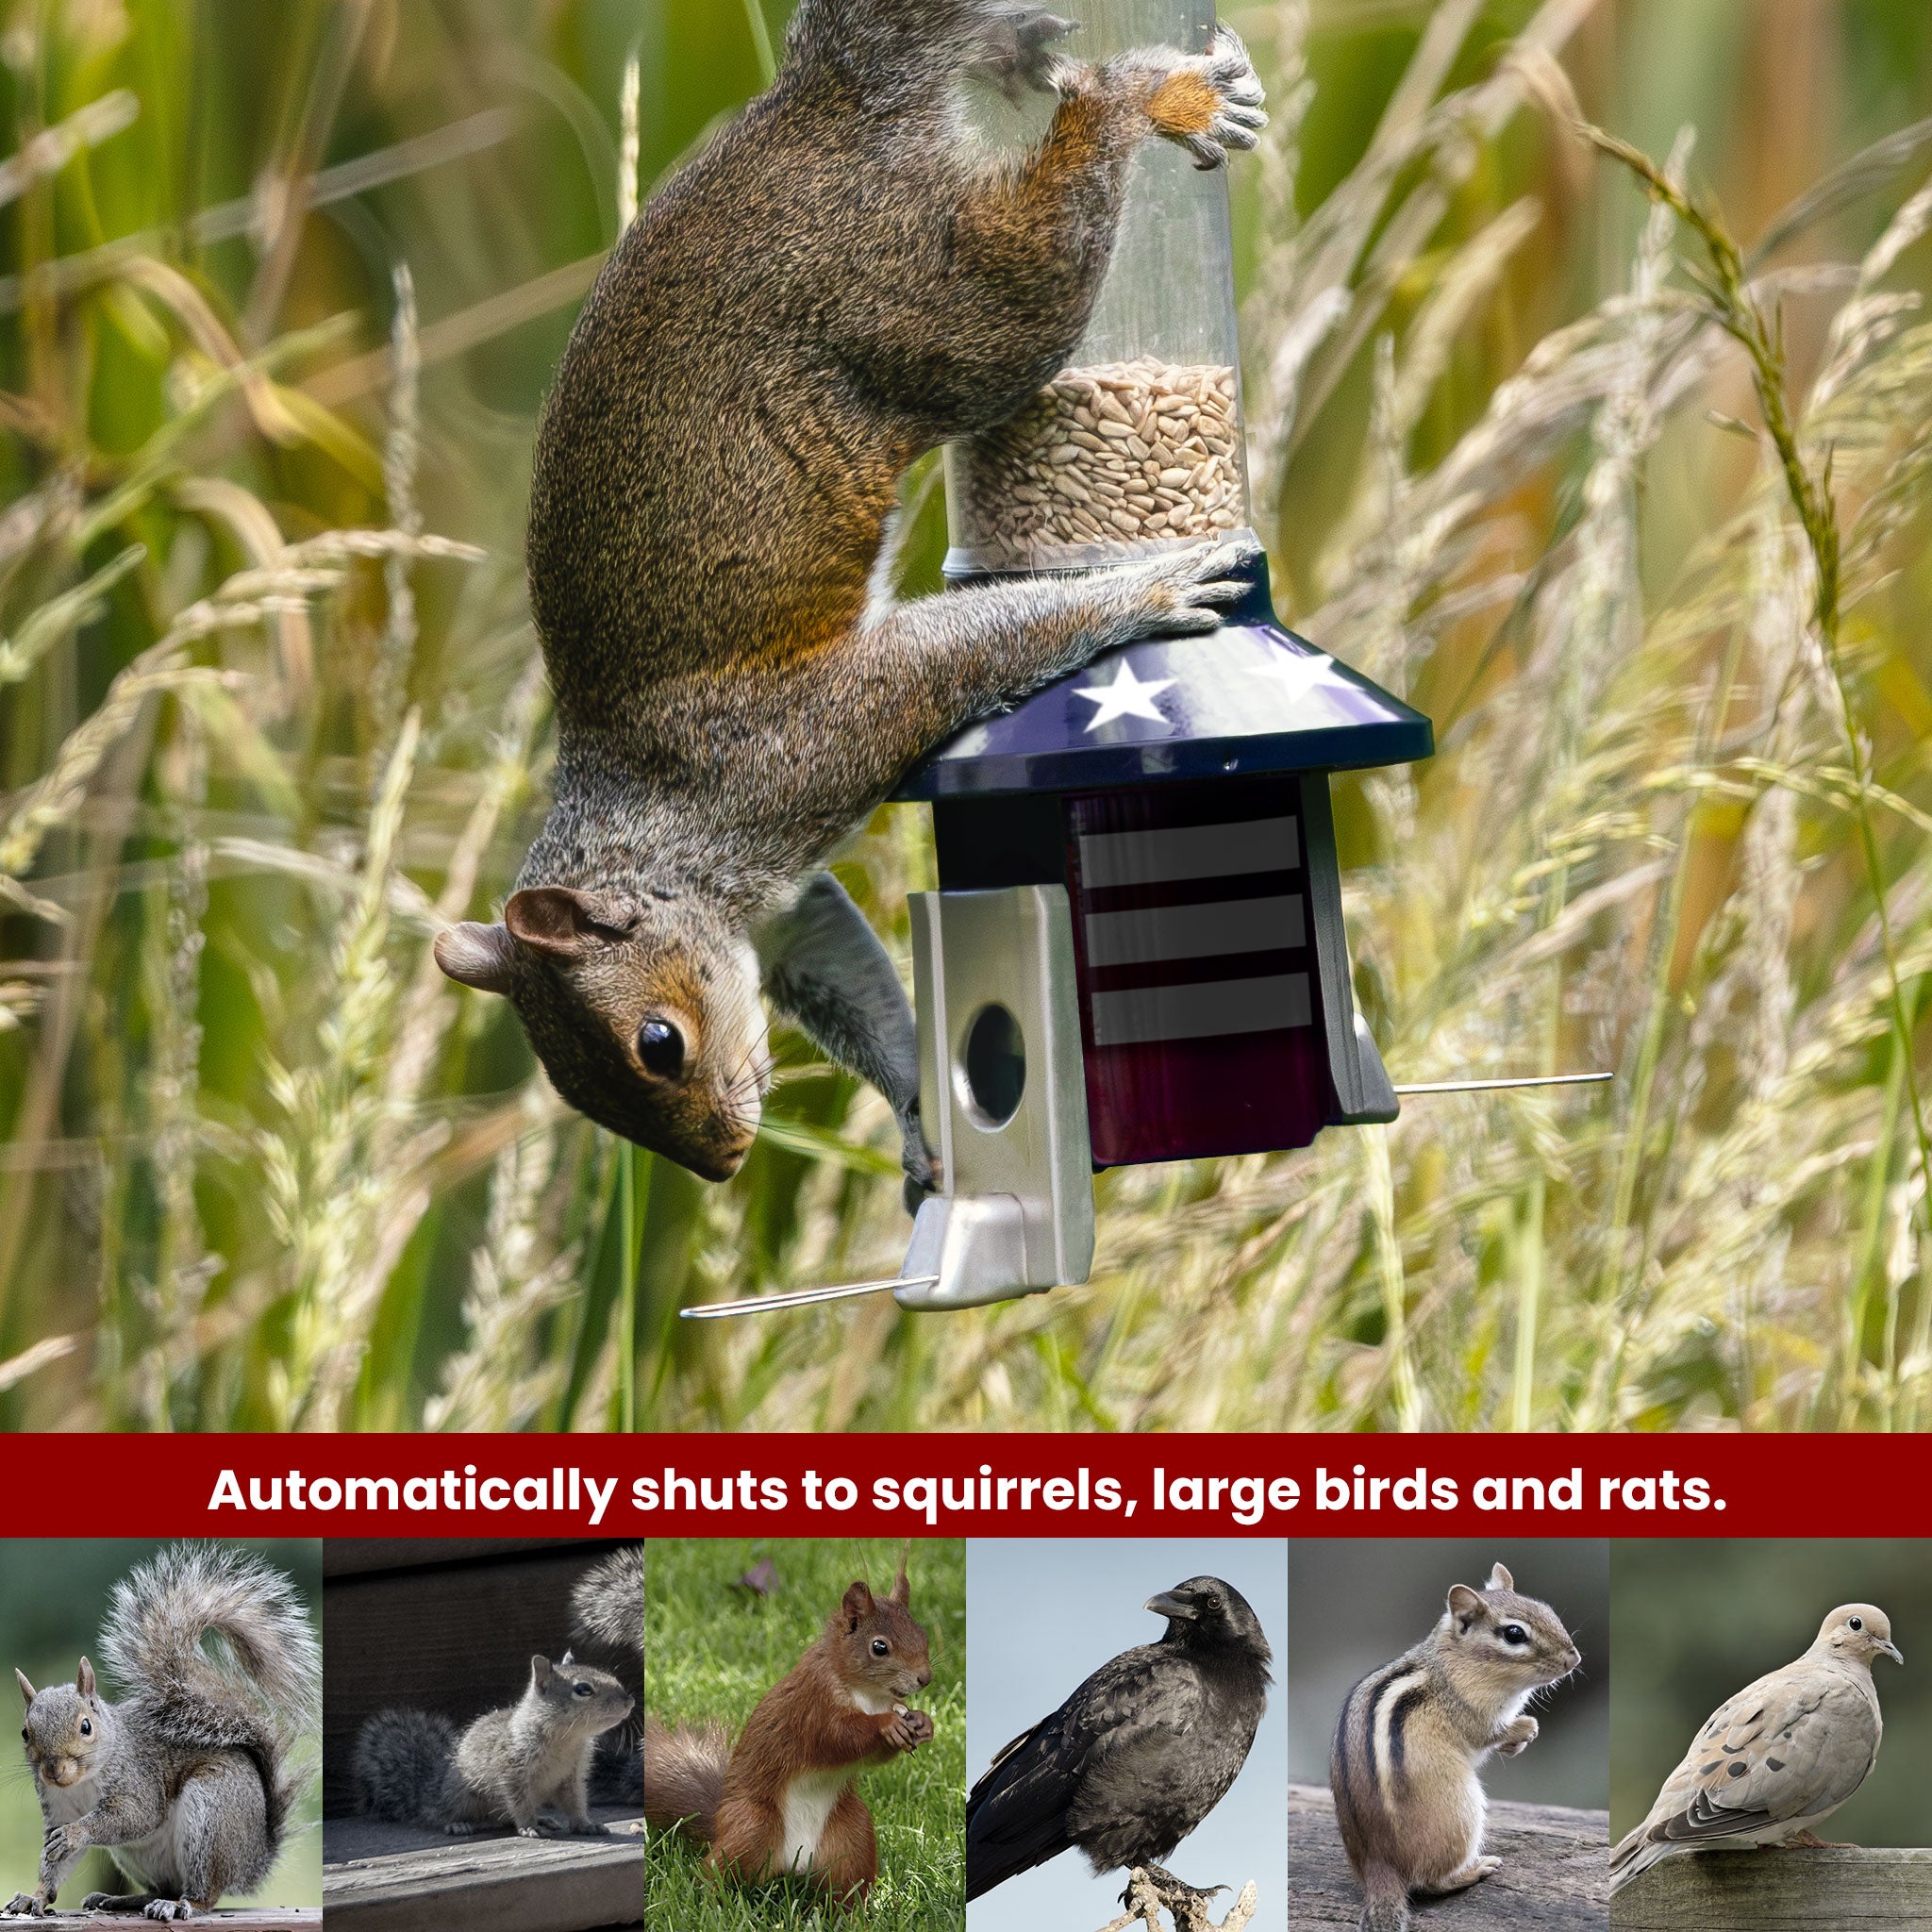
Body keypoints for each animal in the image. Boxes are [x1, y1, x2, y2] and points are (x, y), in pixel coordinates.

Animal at [6, 1542, 321, 1923]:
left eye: (85, 1726)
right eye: (25, 1732)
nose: (53, 1770)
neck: (82, 1781)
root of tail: (253, 1859)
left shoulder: (138, 1780)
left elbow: (133, 1816)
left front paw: (76, 1834)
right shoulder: (57, 1807)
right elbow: (54, 1864)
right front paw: (34, 1897)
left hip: (211, 1815)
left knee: (204, 1892)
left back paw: (181, 1904)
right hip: (138, 1856)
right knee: (163, 1887)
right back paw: (121, 1899)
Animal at [353, 1653, 633, 1839]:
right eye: (583, 1689)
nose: (628, 1701)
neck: (567, 1739)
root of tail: (430, 1792)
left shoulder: (572, 1777)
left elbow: (575, 1803)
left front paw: (586, 1824)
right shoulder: (512, 1770)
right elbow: (519, 1803)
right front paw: (529, 1826)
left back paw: (543, 1819)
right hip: (461, 1795)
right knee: (444, 1814)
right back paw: (458, 1824)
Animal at [432, 0, 1269, 1198]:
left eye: (656, 1042)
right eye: (576, 1091)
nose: (723, 1163)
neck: (661, 832)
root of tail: (822, 103)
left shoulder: (813, 739)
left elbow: (962, 655)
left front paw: (1150, 584)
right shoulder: (786, 915)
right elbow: (850, 978)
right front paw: (922, 1112)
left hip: (948, 310)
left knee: (1053, 220)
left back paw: (1150, 97)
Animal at [644, 1553, 934, 1907]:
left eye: (923, 1634)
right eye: (880, 1647)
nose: (925, 1678)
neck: (868, 1695)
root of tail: (795, 1862)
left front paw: (924, 1723)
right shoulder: (811, 1707)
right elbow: (837, 1737)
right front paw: (886, 1725)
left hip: (852, 1837)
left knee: (846, 1886)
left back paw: (853, 1913)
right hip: (753, 1827)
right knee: (718, 1868)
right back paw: (706, 1899)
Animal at [1329, 1563, 1581, 1932]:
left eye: (1546, 1609)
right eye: (1514, 1634)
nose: (1573, 1660)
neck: (1456, 1660)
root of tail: (1380, 1865)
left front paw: (1518, 1742)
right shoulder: (1471, 1714)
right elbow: (1486, 1735)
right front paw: (1526, 1728)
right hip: (1463, 1811)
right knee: (1430, 1881)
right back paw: (1475, 1869)